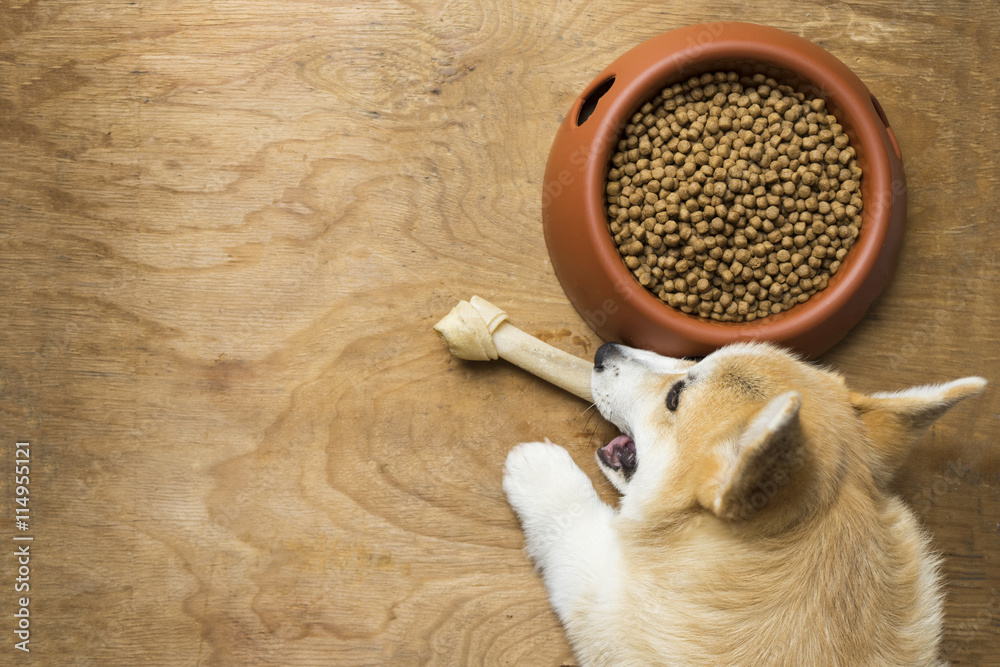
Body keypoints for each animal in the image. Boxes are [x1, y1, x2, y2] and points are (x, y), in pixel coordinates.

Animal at [504, 342, 988, 664]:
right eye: (697, 358)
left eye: (675, 398)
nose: (604, 349)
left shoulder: (613, 620)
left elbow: (577, 536)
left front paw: (540, 473)